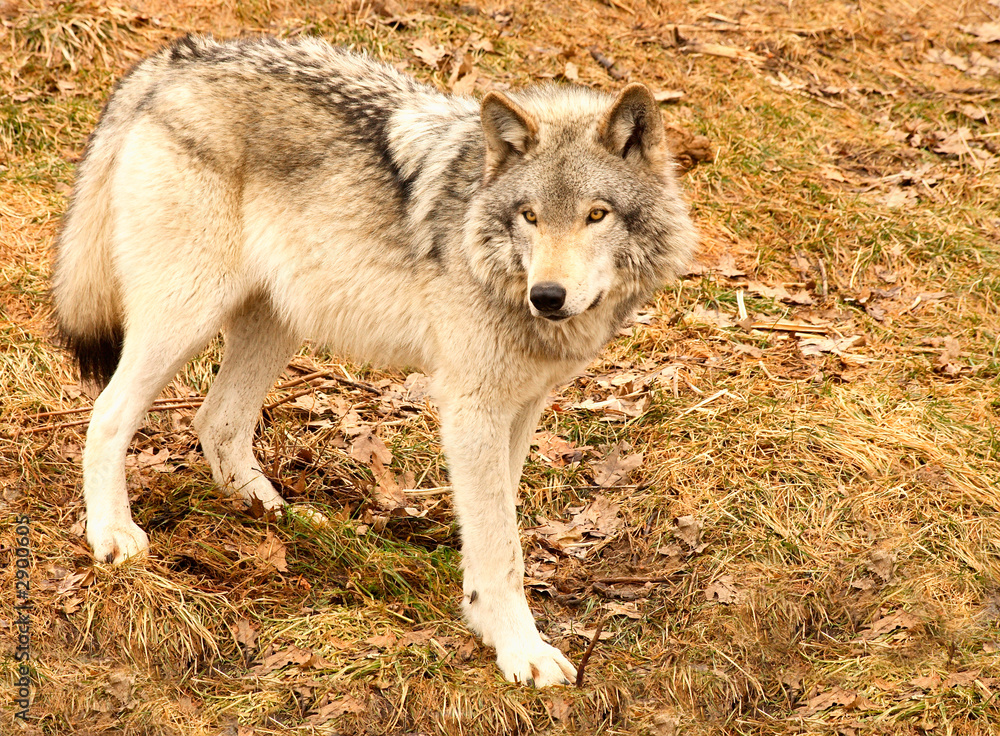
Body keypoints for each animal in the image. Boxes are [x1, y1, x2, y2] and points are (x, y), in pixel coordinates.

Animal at [53, 34, 696, 687]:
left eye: (597, 214)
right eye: (530, 216)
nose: (547, 296)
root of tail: (176, 59)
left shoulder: (520, 408)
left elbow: (495, 527)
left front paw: (484, 620)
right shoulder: (471, 407)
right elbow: (502, 547)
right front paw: (523, 652)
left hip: (278, 321)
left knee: (217, 421)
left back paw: (280, 516)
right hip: (185, 316)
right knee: (108, 415)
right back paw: (112, 536)